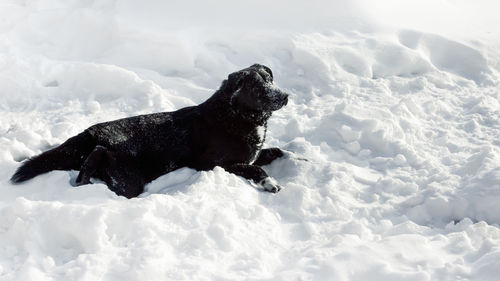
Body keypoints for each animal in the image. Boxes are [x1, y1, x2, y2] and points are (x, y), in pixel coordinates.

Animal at [10, 64, 290, 198]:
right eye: (257, 88)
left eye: (270, 79)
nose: (285, 96)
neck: (235, 115)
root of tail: (88, 133)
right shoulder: (216, 164)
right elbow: (255, 169)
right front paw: (271, 183)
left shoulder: (252, 154)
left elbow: (276, 151)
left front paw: (296, 158)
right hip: (128, 178)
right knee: (98, 159)